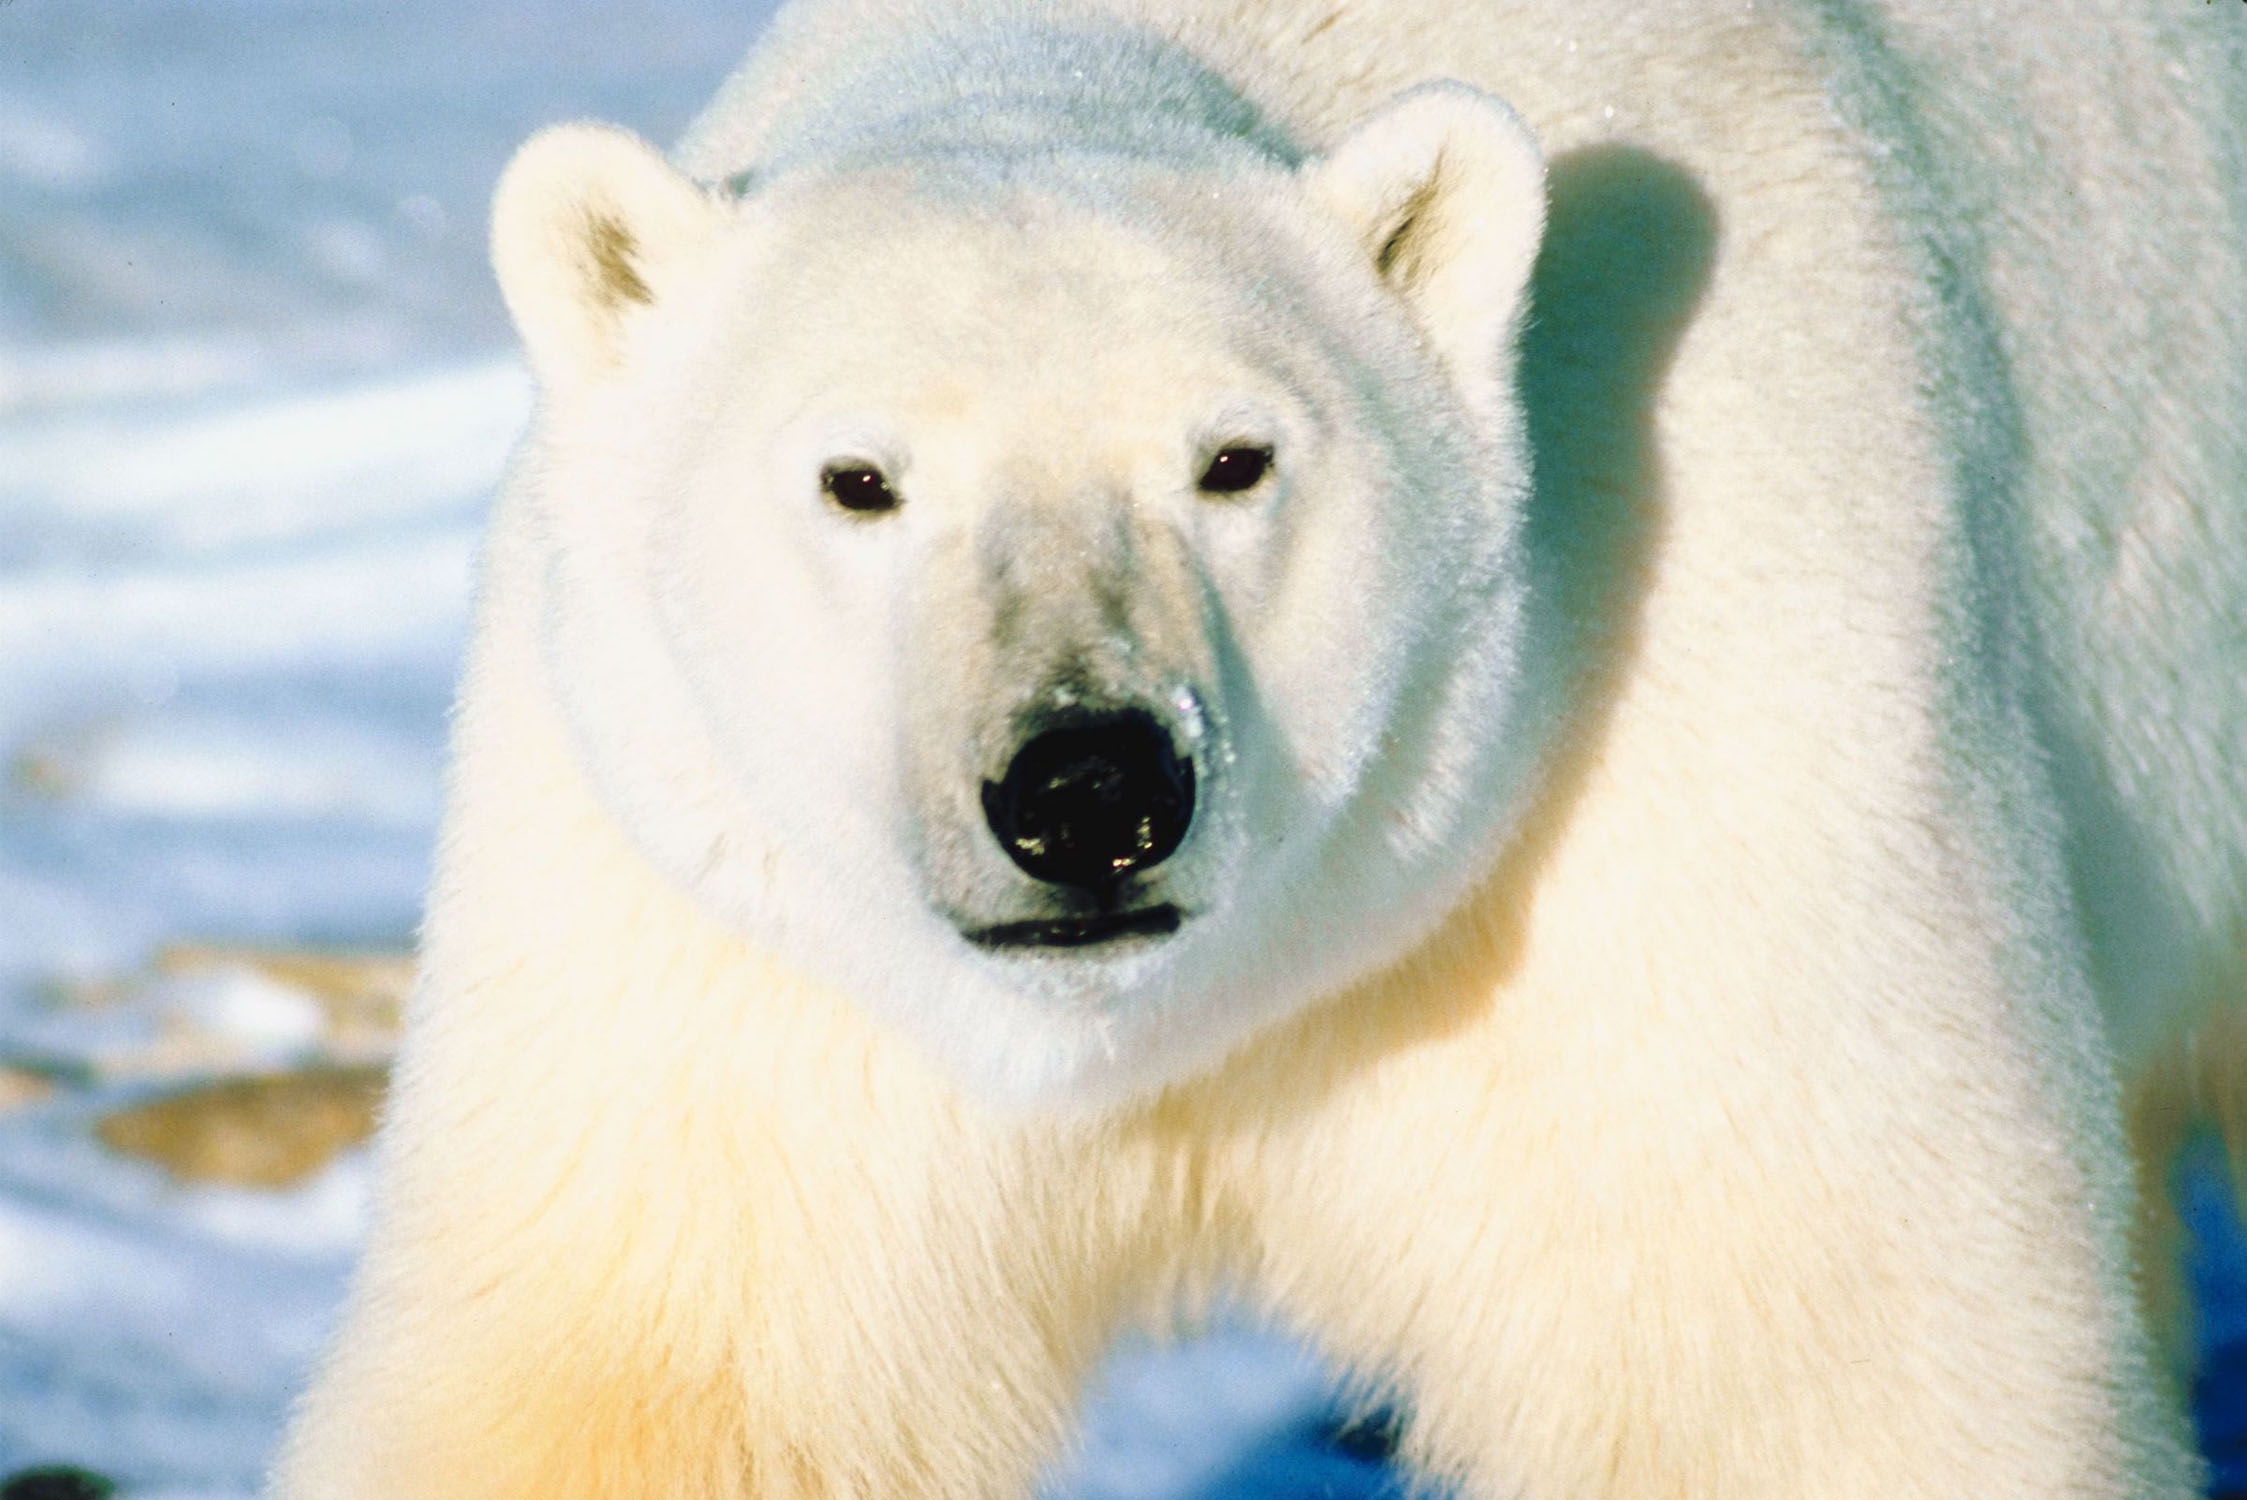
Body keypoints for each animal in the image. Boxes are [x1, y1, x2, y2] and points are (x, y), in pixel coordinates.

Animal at [276, 0, 2247, 1491]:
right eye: (857, 478)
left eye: (1233, 459)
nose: (1087, 790)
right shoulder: (722, 952)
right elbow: (652, 1376)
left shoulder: (1690, 755)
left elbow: (1806, 1365)